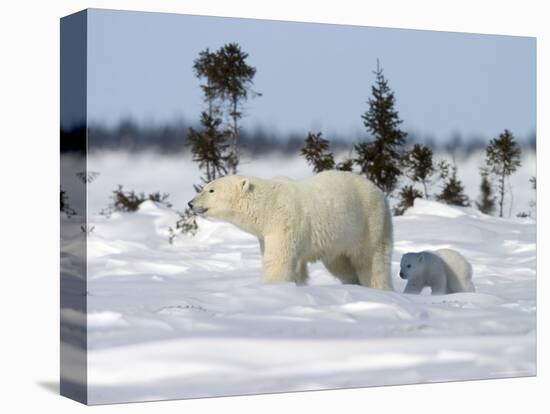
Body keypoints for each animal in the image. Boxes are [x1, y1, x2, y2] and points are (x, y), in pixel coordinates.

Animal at [191, 170, 396, 290]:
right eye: (205, 187)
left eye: (211, 190)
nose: (190, 203)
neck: (268, 206)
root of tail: (380, 192)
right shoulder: (266, 235)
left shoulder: (284, 224)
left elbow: (279, 261)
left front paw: (272, 287)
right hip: (338, 240)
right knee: (341, 265)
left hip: (369, 223)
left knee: (372, 260)